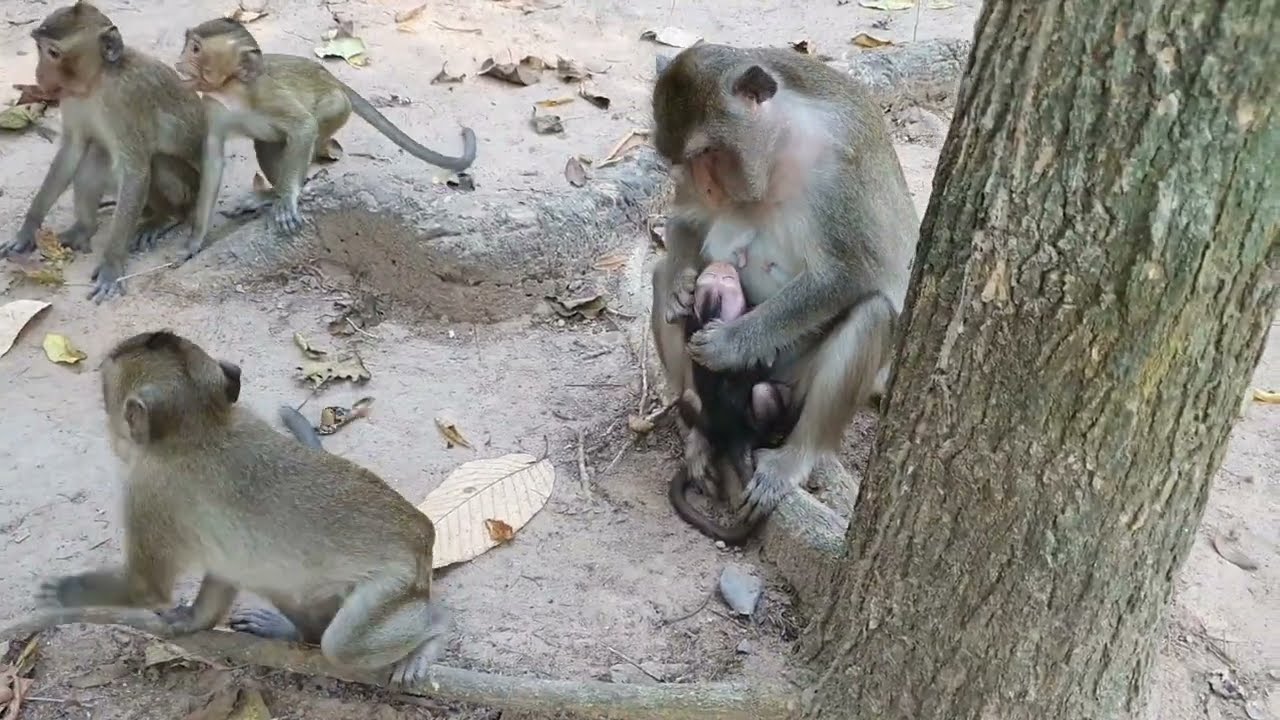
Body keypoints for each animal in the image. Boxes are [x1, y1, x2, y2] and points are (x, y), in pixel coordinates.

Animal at [0, 2, 208, 303]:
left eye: (53, 53)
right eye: (39, 48)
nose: (39, 75)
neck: (98, 81)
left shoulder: (126, 100)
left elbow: (136, 171)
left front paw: (112, 264)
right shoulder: (71, 97)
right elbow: (72, 150)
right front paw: (28, 228)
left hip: (192, 186)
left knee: (156, 164)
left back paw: (166, 218)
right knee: (95, 155)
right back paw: (84, 229)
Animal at [38, 330, 448, 686]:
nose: (111, 431)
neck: (204, 427)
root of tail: (422, 532)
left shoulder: (148, 491)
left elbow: (146, 589)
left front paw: (69, 593)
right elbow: (223, 570)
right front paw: (192, 620)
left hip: (394, 583)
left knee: (343, 645)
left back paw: (432, 635)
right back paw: (298, 633)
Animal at [172, 18, 478, 260]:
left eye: (195, 49)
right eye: (187, 45)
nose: (178, 61)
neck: (231, 90)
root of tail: (333, 79)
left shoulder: (267, 94)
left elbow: (304, 126)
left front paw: (287, 200)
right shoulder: (213, 105)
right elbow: (213, 158)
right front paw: (195, 240)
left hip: (337, 107)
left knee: (309, 131)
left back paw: (281, 194)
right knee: (266, 144)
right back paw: (270, 194)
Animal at [669, 262, 801, 545]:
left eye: (720, 277)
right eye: (728, 280)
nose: (721, 265)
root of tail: (734, 436)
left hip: (705, 416)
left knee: (688, 397)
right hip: (754, 423)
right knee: (763, 392)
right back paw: (773, 437)